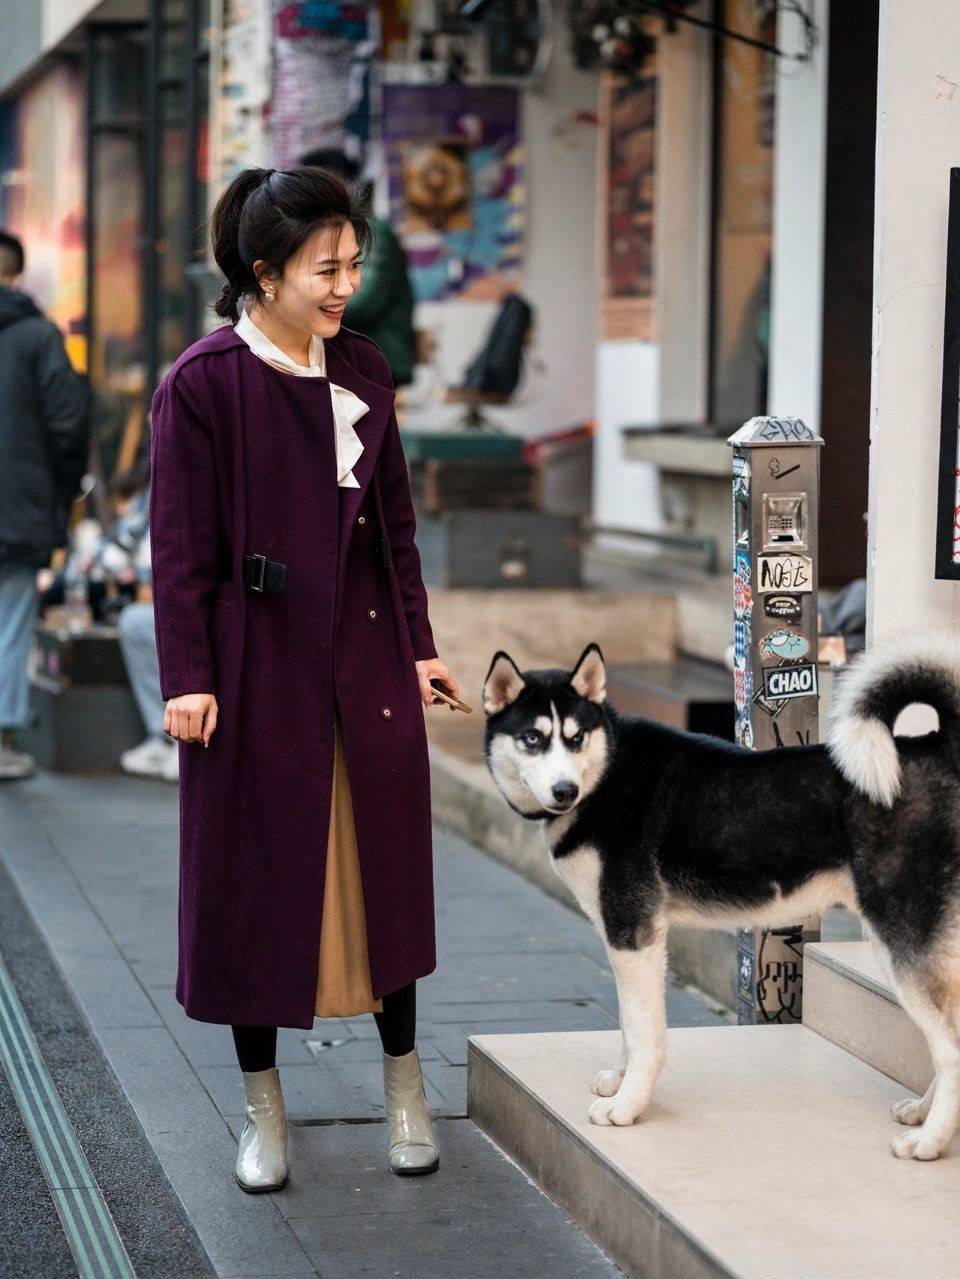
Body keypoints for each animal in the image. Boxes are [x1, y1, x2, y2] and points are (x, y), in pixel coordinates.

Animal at [483, 639, 960, 1161]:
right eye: (532, 738)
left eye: (575, 738)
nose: (564, 790)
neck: (605, 774)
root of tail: (939, 746)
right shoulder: (629, 938)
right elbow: (630, 1027)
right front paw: (619, 1080)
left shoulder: (633, 933)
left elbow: (645, 1034)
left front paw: (628, 1106)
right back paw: (924, 1113)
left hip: (900, 940)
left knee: (951, 1051)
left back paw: (930, 1140)